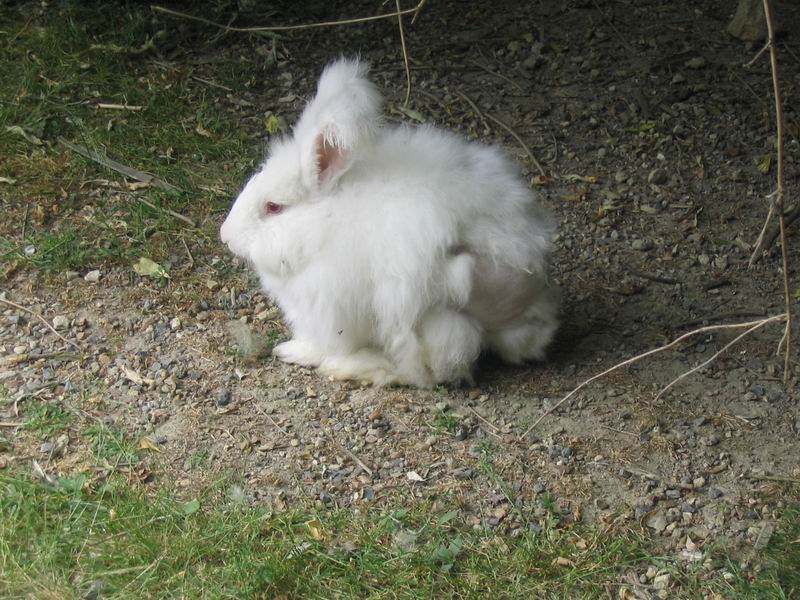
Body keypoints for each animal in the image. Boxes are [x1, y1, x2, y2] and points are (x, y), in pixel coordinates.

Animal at [220, 58, 559, 387]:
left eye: (274, 207)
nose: (225, 235)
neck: (324, 221)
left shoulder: (328, 306)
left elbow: (324, 341)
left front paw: (294, 350)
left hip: (428, 314)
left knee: (429, 370)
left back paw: (351, 366)